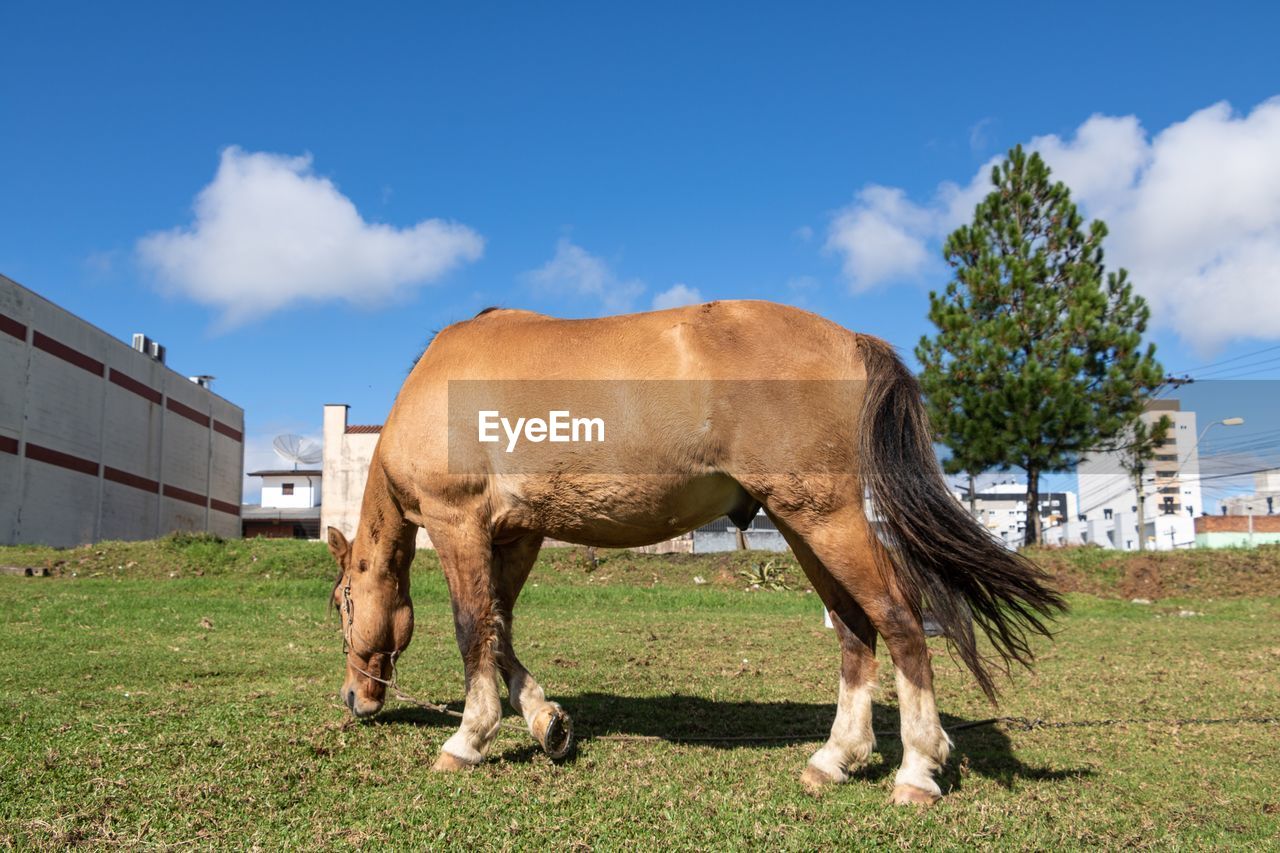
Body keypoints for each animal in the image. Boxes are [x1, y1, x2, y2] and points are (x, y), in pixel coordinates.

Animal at [327, 298, 1059, 804]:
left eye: (342, 602)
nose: (355, 699)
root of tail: (852, 340)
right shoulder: (518, 534)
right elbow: (500, 629)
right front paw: (545, 721)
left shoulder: (460, 524)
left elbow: (472, 627)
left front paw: (469, 738)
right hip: (801, 524)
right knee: (855, 632)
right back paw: (836, 758)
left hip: (828, 519)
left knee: (901, 621)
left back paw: (916, 769)